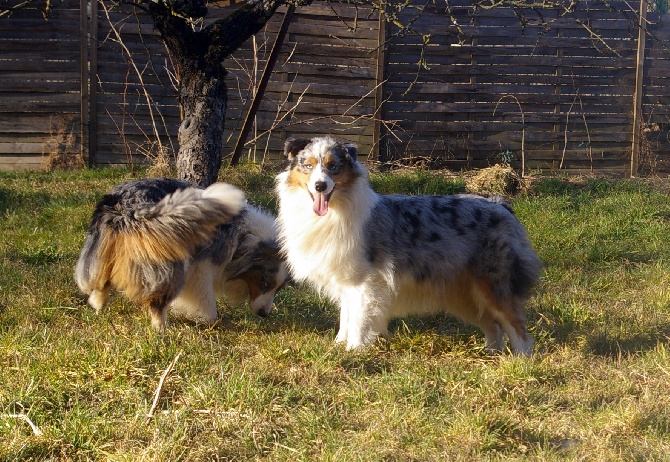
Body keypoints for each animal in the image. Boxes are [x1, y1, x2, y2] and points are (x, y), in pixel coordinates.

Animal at [75, 178, 288, 332]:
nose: (264, 314)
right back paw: (162, 329)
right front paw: (207, 318)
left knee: (101, 278)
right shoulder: (201, 266)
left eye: (278, 289)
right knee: (158, 299)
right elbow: (205, 299)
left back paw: (98, 303)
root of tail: (126, 206)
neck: (244, 237)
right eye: (265, 283)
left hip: (104, 247)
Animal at [276, 135, 544, 356]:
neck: (334, 209)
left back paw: (521, 360)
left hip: (494, 284)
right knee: (493, 324)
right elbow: (346, 317)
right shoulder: (346, 280)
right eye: (308, 166)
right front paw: (340, 345)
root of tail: (501, 205)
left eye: (333, 167)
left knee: (516, 326)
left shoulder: (366, 282)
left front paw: (354, 350)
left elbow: (359, 319)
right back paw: (491, 352)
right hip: (464, 292)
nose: (320, 186)